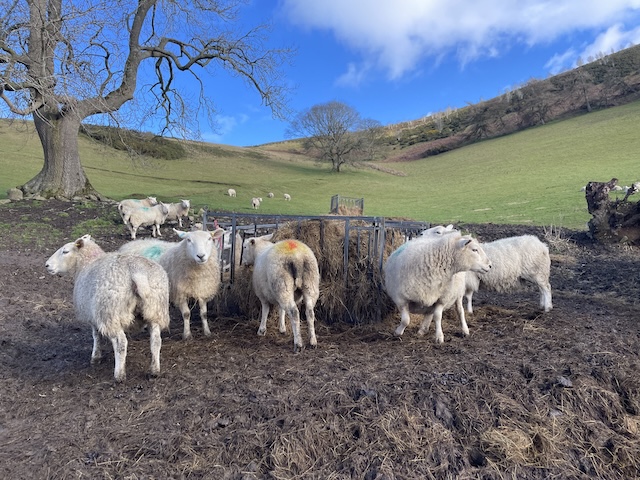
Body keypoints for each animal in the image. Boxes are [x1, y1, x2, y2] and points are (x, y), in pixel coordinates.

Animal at [45, 235, 170, 382]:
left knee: (121, 343)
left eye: (65, 251)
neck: (87, 262)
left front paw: (95, 357)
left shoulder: (93, 316)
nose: (47, 265)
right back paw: (154, 371)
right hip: (155, 310)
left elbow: (96, 336)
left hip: (110, 312)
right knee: (156, 340)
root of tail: (135, 270)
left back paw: (119, 375)